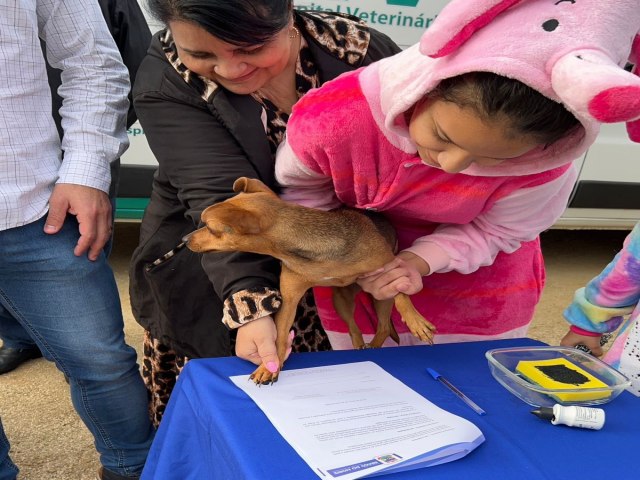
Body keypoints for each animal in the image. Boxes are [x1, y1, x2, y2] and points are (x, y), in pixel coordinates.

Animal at [185, 176, 436, 382]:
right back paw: (362, 348)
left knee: (383, 325)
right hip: (341, 300)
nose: (185, 239)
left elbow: (401, 292)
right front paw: (269, 366)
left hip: (381, 295)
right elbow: (280, 335)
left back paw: (375, 345)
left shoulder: (388, 264)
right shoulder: (289, 300)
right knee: (355, 328)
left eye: (210, 228)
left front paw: (415, 320)